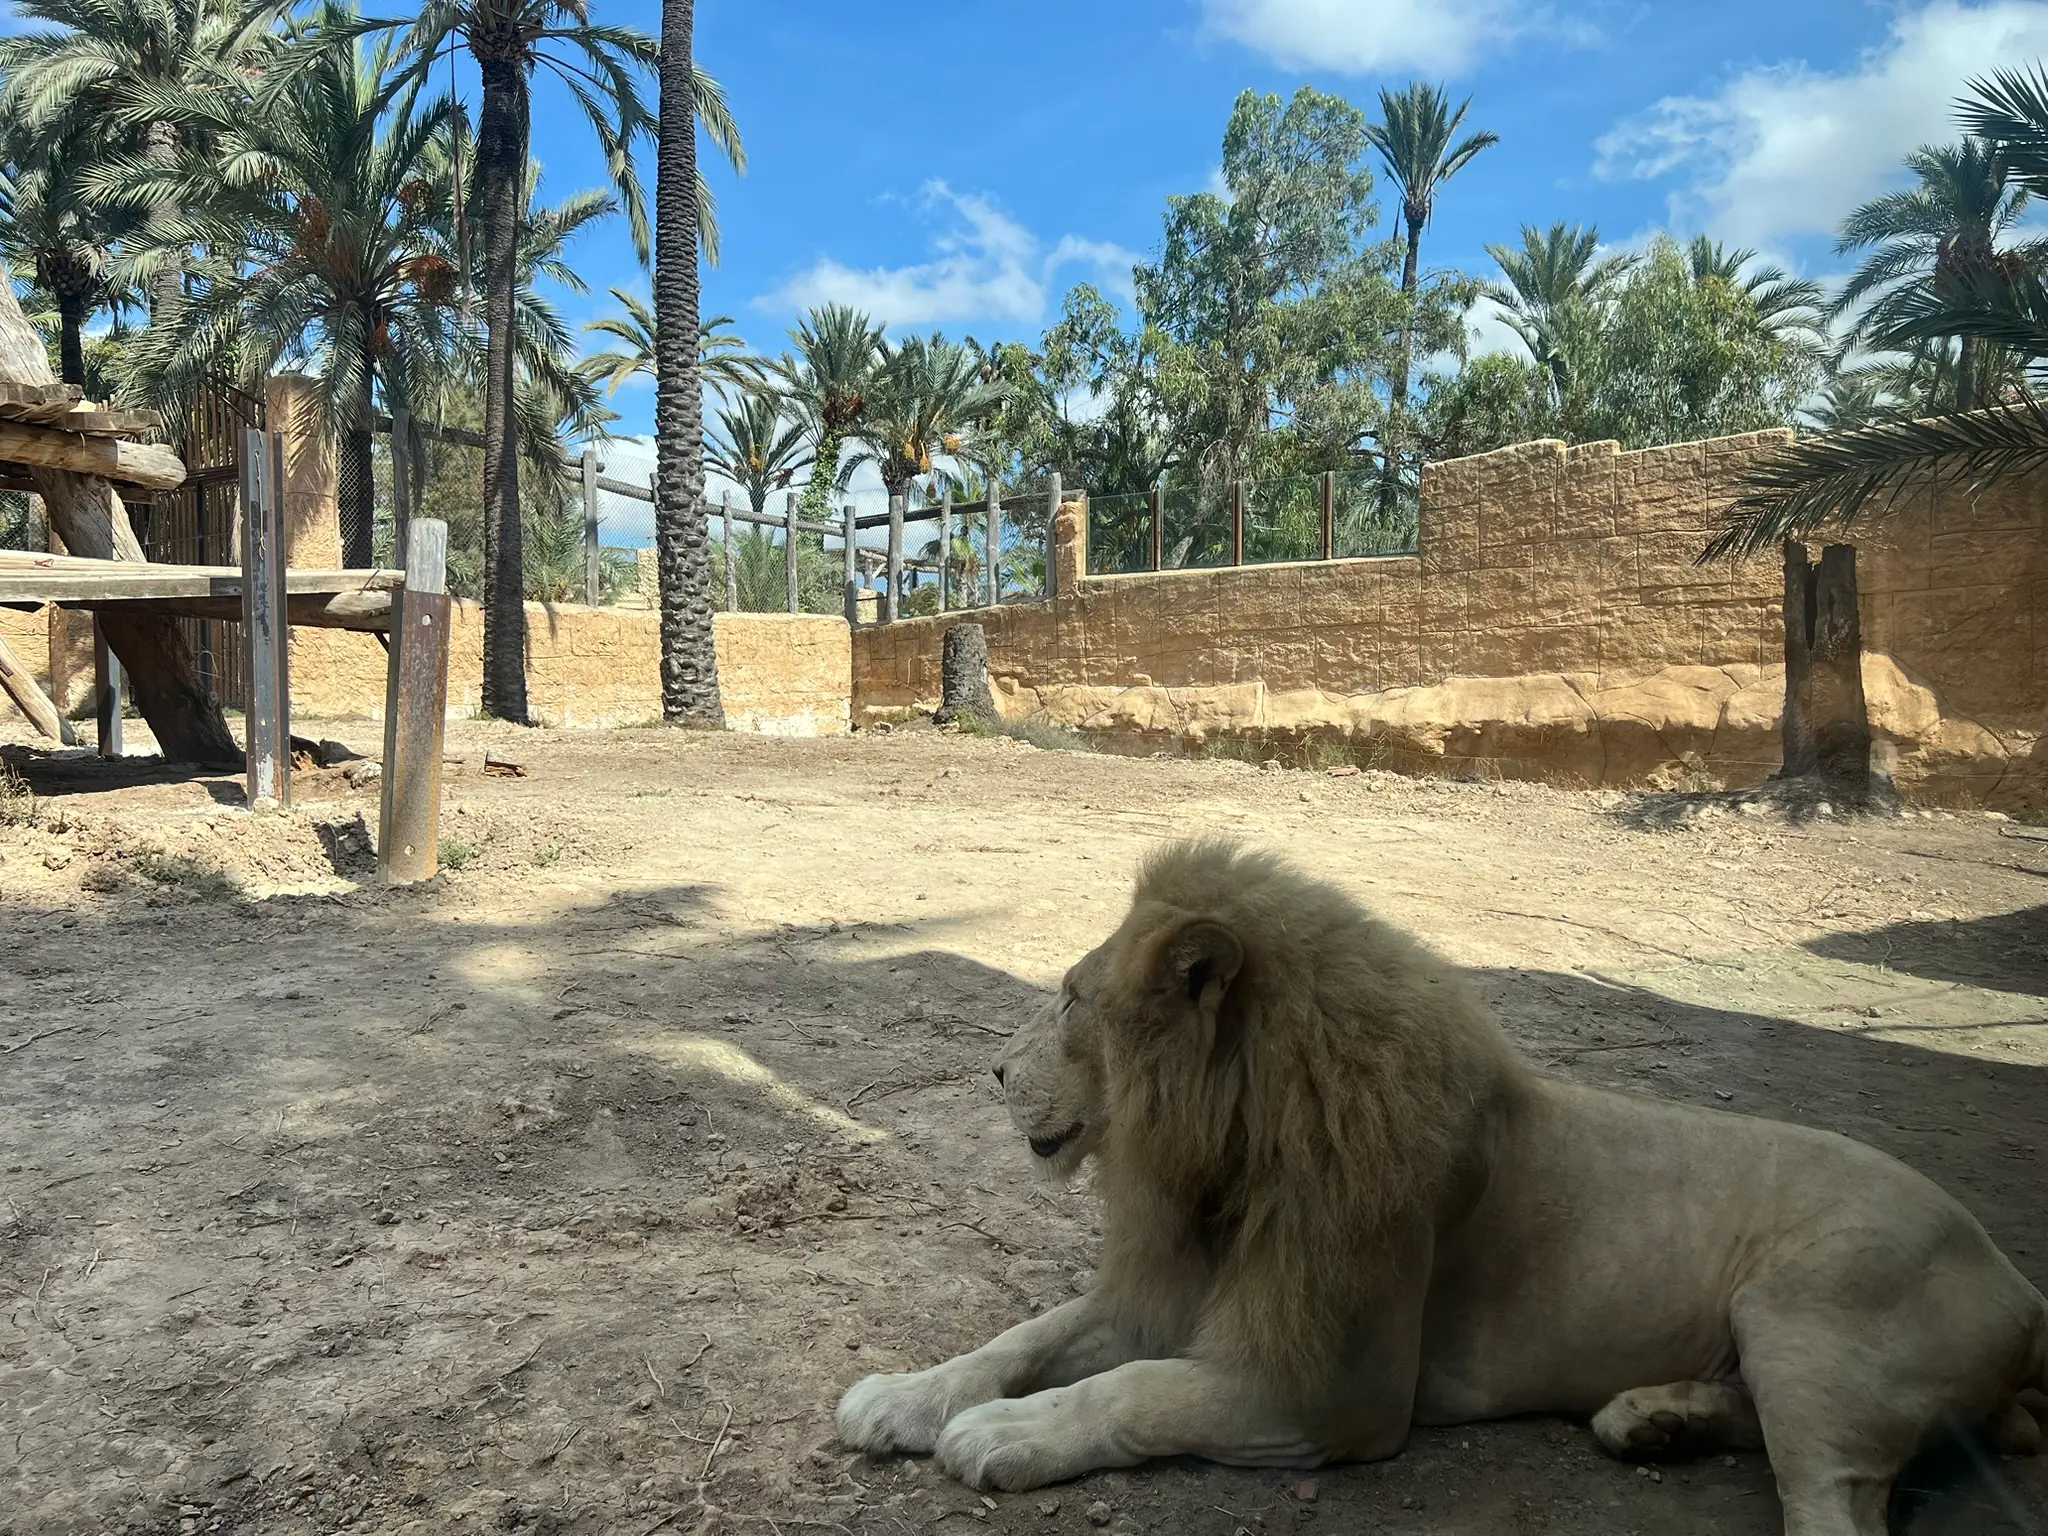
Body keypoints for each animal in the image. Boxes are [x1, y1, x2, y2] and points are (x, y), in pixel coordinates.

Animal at [836, 839, 2048, 1535]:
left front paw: (1004, 1433)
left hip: (1809, 1319)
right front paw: (900, 1396)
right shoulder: (1182, 1293)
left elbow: (1131, 1392)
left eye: (1072, 1000)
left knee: (1834, 1505)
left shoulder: (1343, 1390)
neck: (1233, 1153)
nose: (993, 1073)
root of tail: (2021, 1282)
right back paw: (1650, 1419)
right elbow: (1025, 1336)